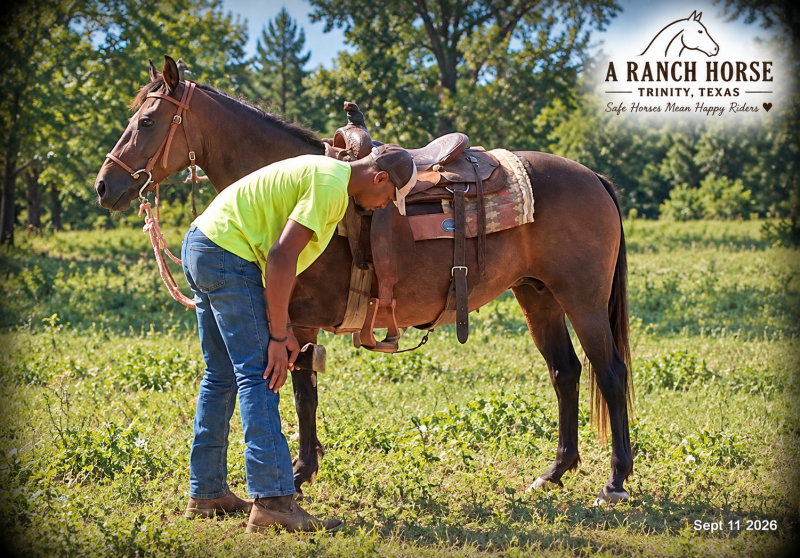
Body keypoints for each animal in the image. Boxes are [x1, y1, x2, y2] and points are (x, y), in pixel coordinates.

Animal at [94, 56, 634, 505]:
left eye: (146, 122)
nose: (104, 185)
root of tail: (594, 177)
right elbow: (304, 389)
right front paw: (304, 470)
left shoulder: (297, 319)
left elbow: (301, 390)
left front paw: (299, 473)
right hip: (538, 297)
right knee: (565, 372)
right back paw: (555, 472)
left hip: (583, 301)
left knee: (610, 373)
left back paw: (615, 481)